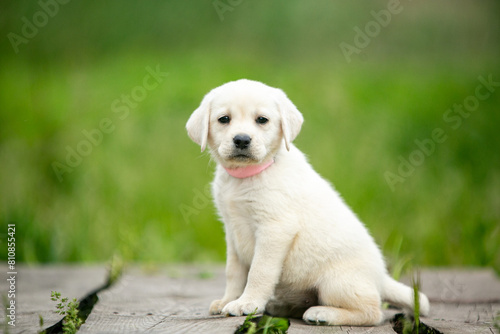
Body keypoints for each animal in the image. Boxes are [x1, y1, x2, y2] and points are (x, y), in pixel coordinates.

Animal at [186, 79, 428, 326]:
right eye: (224, 119)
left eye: (262, 120)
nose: (242, 139)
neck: (245, 176)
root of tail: (381, 277)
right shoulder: (232, 230)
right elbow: (234, 272)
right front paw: (228, 300)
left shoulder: (275, 228)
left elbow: (258, 271)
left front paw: (247, 303)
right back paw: (283, 306)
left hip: (336, 282)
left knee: (372, 312)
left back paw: (323, 313)